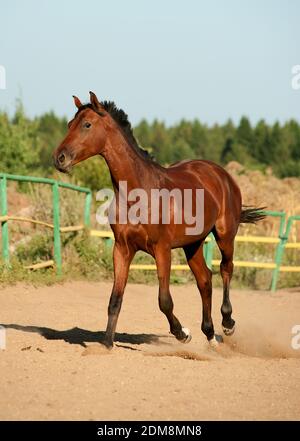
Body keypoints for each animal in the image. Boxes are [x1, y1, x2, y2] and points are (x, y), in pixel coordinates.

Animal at [52, 92, 264, 348]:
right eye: (68, 125)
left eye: (87, 125)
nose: (59, 159)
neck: (138, 193)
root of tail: (221, 174)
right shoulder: (122, 249)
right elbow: (115, 299)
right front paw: (106, 344)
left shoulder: (162, 249)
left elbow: (164, 300)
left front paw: (183, 333)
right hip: (193, 244)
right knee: (204, 279)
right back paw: (210, 334)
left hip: (225, 234)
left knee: (226, 269)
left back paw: (227, 323)